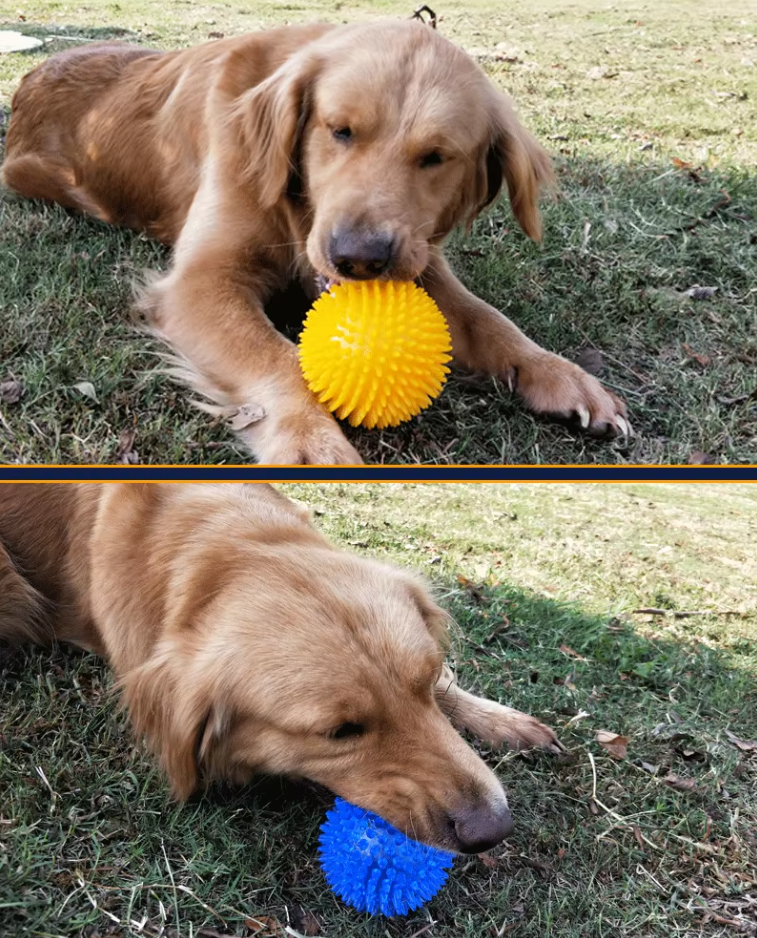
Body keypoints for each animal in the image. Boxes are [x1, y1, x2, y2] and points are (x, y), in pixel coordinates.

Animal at [1, 20, 628, 462]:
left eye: (436, 157)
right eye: (339, 131)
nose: (358, 258)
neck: (297, 211)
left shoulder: (418, 257)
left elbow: (487, 318)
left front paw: (562, 375)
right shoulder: (201, 281)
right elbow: (276, 357)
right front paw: (309, 438)